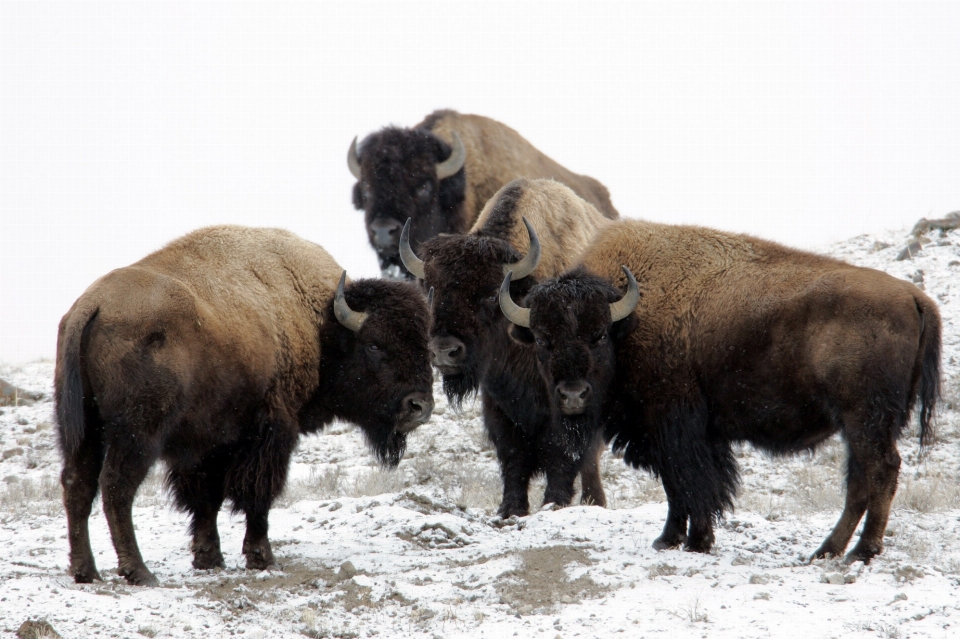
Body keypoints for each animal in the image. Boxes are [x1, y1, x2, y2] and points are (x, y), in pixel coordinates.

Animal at [56, 226, 436, 584]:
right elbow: (257, 496)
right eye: (374, 345)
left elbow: (206, 499)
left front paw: (209, 559)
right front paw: (262, 558)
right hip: (137, 435)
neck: (320, 323)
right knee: (116, 489)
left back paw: (86, 571)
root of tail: (92, 306)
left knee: (78, 485)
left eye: (425, 345)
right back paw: (139, 572)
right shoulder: (270, 433)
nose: (419, 406)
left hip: (82, 430)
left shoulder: (206, 444)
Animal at [400, 178, 612, 516]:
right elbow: (512, 456)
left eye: (489, 295)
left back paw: (595, 502)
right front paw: (510, 509)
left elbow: (562, 452)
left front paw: (554, 503)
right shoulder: (498, 403)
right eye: (432, 289)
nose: (444, 351)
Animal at [498, 221, 940, 564]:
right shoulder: (692, 435)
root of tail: (914, 297)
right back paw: (828, 551)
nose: (573, 395)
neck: (630, 319)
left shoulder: (672, 429)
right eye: (542, 339)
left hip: (865, 420)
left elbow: (687, 484)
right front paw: (682, 539)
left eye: (599, 335)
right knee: (861, 480)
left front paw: (685, 541)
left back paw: (858, 552)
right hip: (862, 425)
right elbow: (691, 485)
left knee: (879, 472)